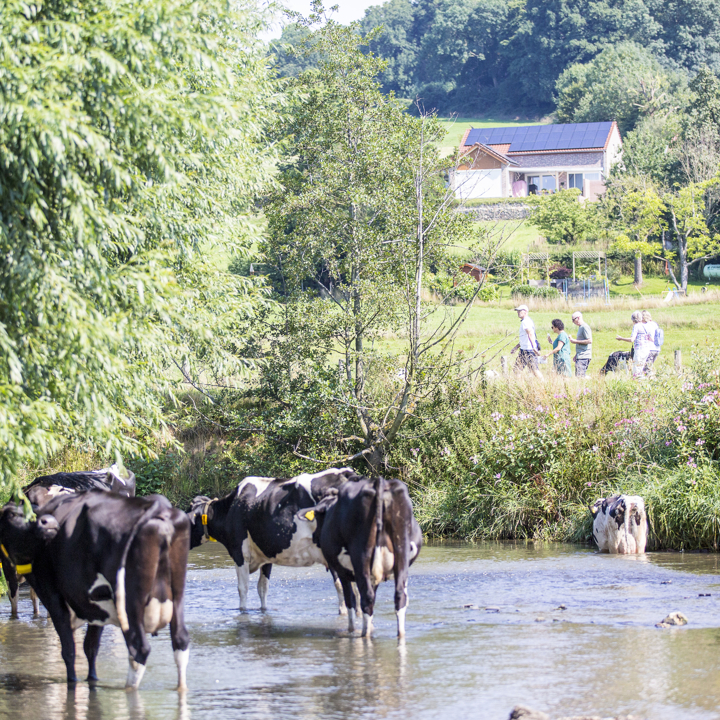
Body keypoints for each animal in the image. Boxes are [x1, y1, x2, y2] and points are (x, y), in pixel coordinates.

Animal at [0, 492, 190, 688]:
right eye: (11, 514)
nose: (48, 522)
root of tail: (156, 507)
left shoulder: (54, 599)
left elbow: (69, 651)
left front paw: (73, 681)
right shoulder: (96, 607)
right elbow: (90, 648)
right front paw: (92, 679)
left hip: (130, 603)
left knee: (139, 649)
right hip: (176, 595)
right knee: (180, 641)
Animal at [188, 466, 360, 612]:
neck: (230, 509)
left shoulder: (240, 553)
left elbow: (243, 588)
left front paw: (242, 611)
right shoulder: (266, 554)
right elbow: (262, 588)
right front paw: (263, 611)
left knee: (344, 590)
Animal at [300, 478, 424, 636]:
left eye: (318, 517)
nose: (315, 537)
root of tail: (379, 482)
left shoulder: (342, 571)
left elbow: (350, 599)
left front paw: (351, 630)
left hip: (362, 556)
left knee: (367, 597)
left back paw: (364, 634)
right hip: (401, 552)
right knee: (399, 596)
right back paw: (399, 634)